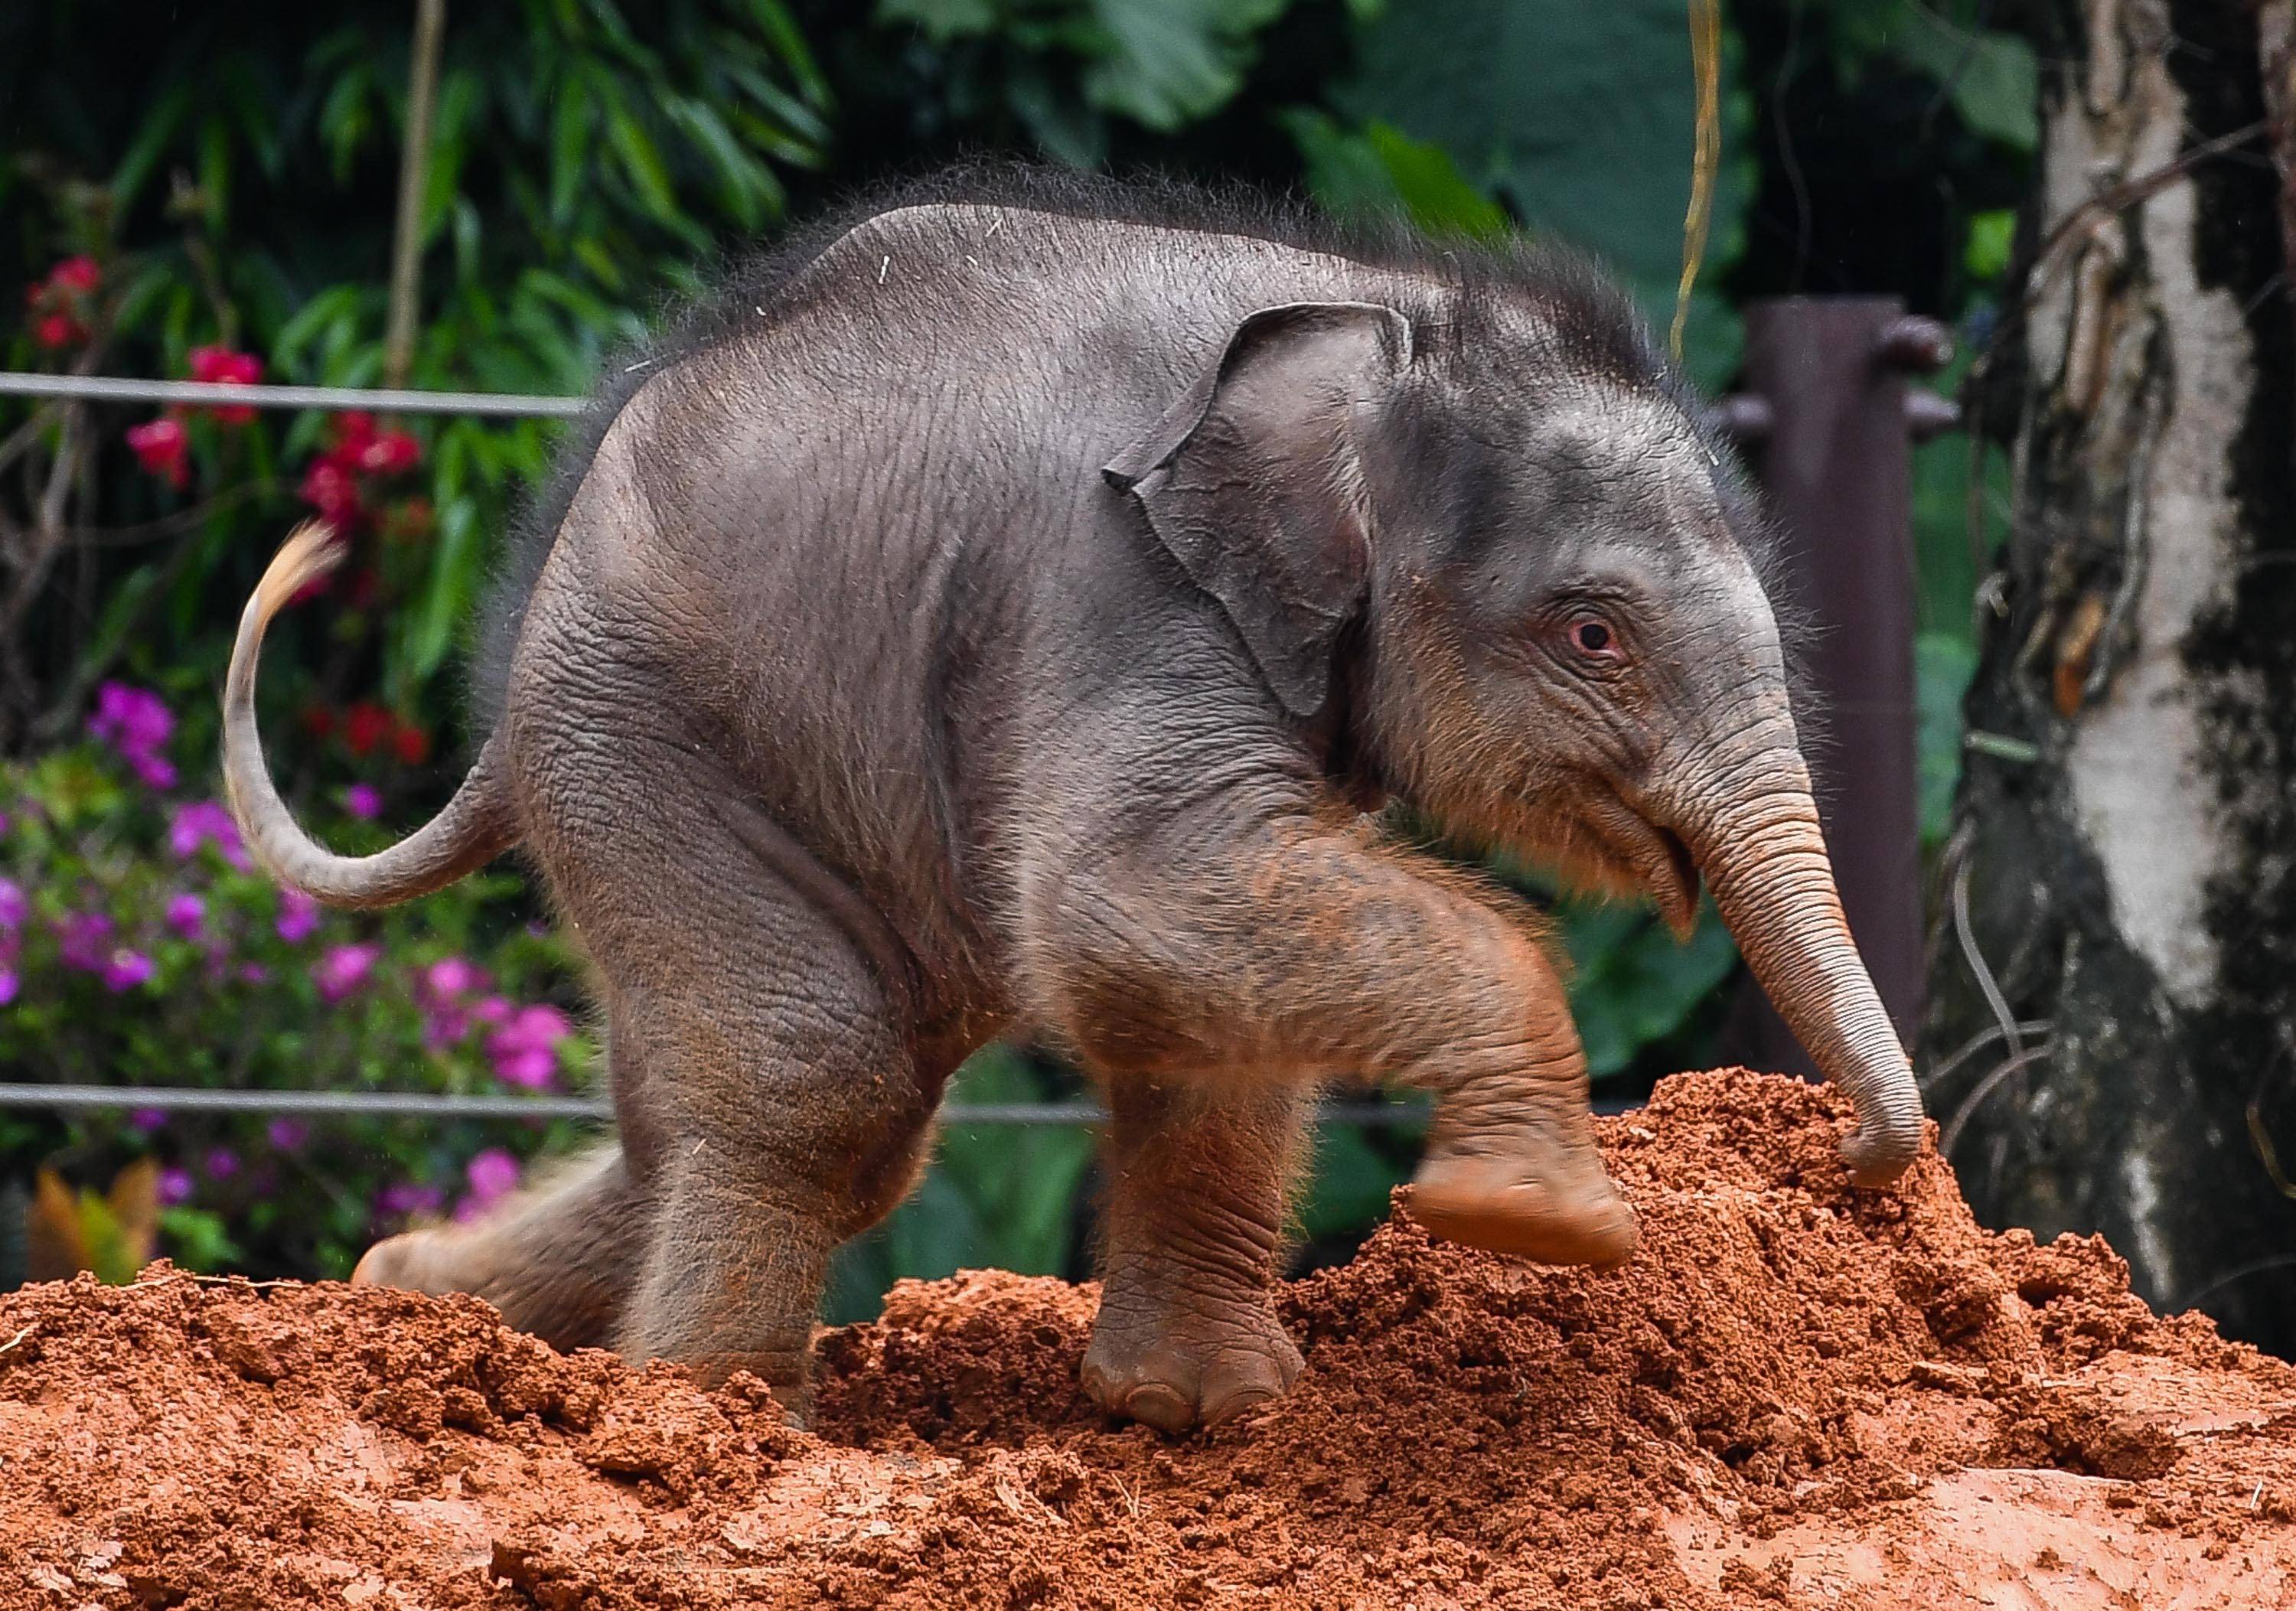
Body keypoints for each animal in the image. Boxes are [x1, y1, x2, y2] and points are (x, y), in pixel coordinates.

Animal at [228, 169, 1919, 1432]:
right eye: (1594, 635)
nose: (1858, 1164)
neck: (1376, 320)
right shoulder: (1117, 585)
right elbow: (1127, 907)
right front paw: (1543, 1220)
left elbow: (1202, 977)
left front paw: (1201, 1412)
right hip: (640, 732)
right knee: (825, 1080)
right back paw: (715, 1420)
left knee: (788, 1105)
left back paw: (411, 1297)